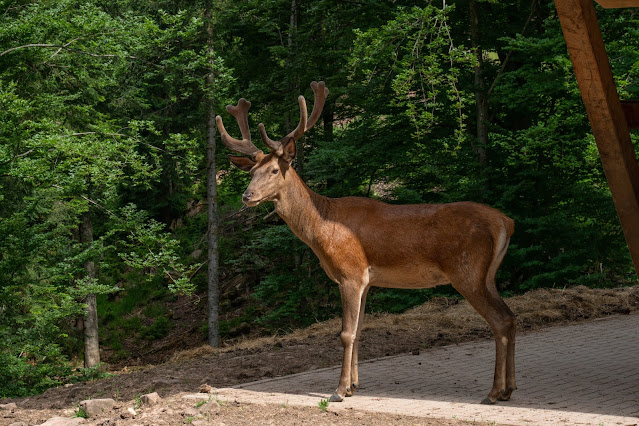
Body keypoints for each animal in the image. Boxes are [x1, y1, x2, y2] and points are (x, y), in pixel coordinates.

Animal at [218, 81, 516, 404]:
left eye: (274, 170)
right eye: (251, 172)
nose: (247, 196)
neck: (322, 228)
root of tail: (506, 222)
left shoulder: (350, 273)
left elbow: (346, 333)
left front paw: (338, 391)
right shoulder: (366, 280)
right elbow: (359, 331)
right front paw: (353, 386)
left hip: (467, 270)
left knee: (500, 320)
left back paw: (494, 391)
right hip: (487, 274)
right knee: (510, 316)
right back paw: (509, 388)